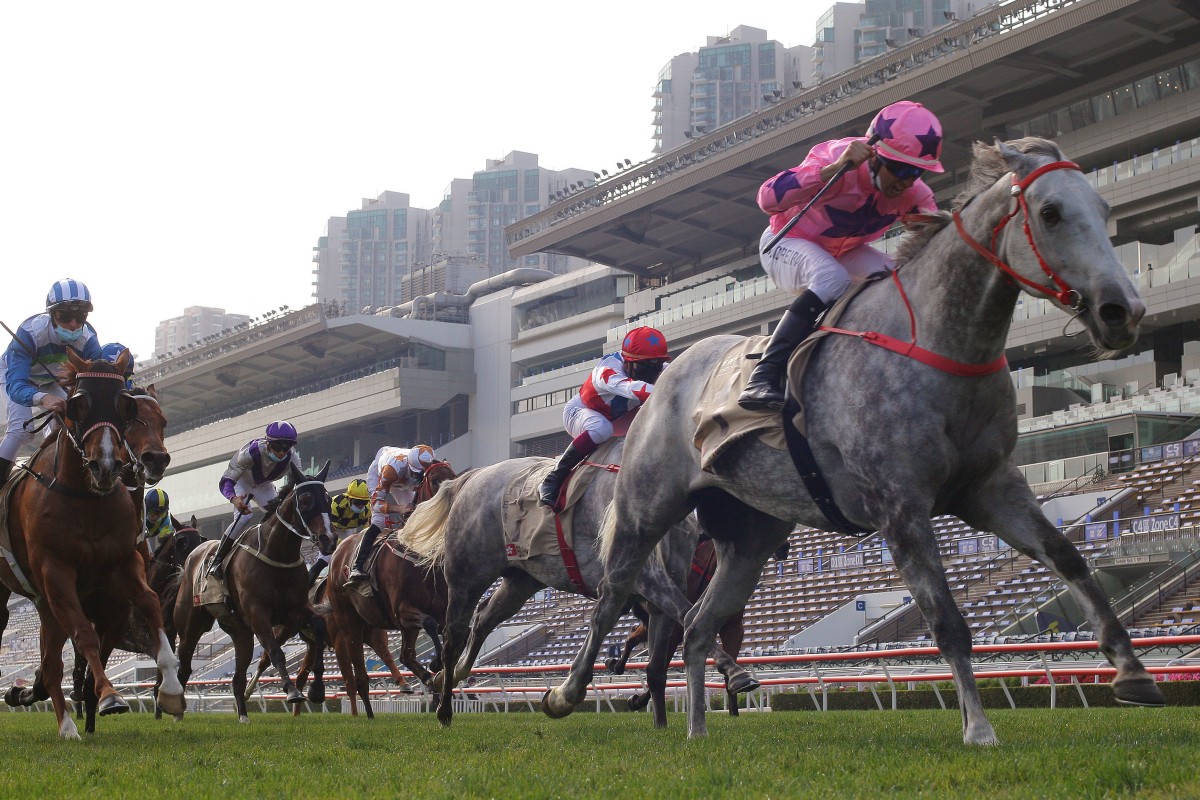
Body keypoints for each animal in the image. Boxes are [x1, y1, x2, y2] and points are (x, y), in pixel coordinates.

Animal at [0, 352, 182, 743]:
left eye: (124, 407)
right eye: (77, 404)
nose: (155, 459)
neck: (85, 497)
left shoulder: (122, 569)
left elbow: (149, 603)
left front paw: (172, 690)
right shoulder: (55, 570)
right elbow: (84, 636)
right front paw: (111, 696)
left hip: (43, 604)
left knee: (51, 663)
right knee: (52, 661)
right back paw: (66, 722)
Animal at [172, 460, 338, 724]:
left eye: (328, 499)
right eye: (304, 500)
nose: (329, 539)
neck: (276, 554)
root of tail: (193, 555)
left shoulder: (296, 611)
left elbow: (319, 629)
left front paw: (317, 689)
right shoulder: (258, 613)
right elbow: (275, 651)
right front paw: (292, 691)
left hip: (240, 632)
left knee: (237, 677)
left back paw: (243, 714)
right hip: (190, 626)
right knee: (185, 666)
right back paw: (174, 712)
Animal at [324, 462, 453, 719]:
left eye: (453, 475)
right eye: (435, 479)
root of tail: (338, 555)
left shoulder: (439, 611)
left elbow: (441, 636)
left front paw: (437, 675)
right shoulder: (401, 612)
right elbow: (430, 624)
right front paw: (435, 666)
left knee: (403, 656)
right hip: (349, 625)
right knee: (359, 676)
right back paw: (368, 714)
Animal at [403, 438, 758, 734]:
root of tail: (469, 478)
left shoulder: (667, 585)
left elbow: (660, 660)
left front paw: (660, 722)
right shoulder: (641, 573)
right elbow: (686, 614)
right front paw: (736, 672)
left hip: (522, 580)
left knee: (484, 618)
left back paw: (450, 675)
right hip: (466, 577)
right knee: (453, 637)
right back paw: (444, 707)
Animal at [544, 139, 1161, 743]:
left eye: (1103, 208)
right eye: (1050, 212)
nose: (1122, 311)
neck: (935, 342)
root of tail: (668, 376)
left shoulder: (989, 486)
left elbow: (1068, 556)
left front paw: (1133, 673)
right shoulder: (900, 505)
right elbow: (946, 619)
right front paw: (979, 728)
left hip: (750, 538)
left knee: (697, 626)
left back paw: (697, 727)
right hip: (645, 508)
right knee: (611, 597)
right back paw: (565, 693)